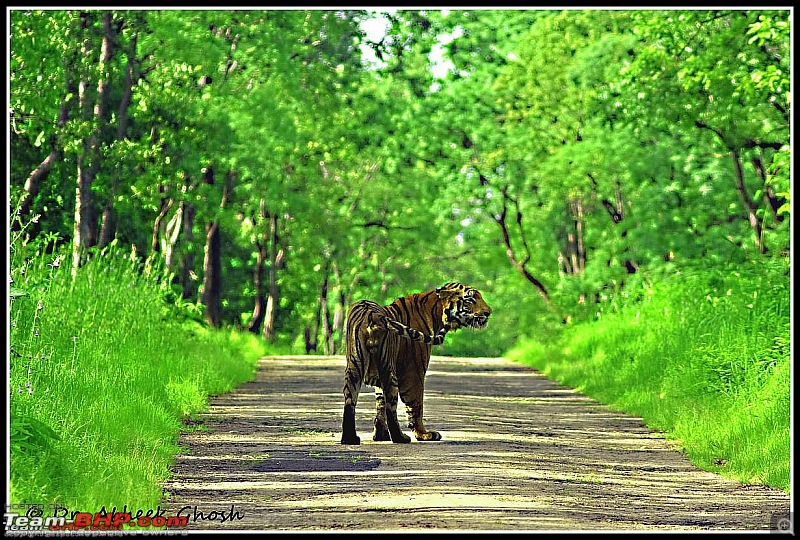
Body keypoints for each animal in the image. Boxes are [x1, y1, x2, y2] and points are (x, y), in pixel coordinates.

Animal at [338, 280, 488, 446]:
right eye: (470, 300)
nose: (488, 312)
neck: (435, 312)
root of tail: (372, 314)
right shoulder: (414, 371)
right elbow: (416, 405)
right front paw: (423, 434)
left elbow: (380, 404)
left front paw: (380, 435)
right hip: (388, 368)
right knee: (391, 407)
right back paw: (400, 438)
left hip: (354, 368)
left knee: (350, 402)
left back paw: (349, 438)